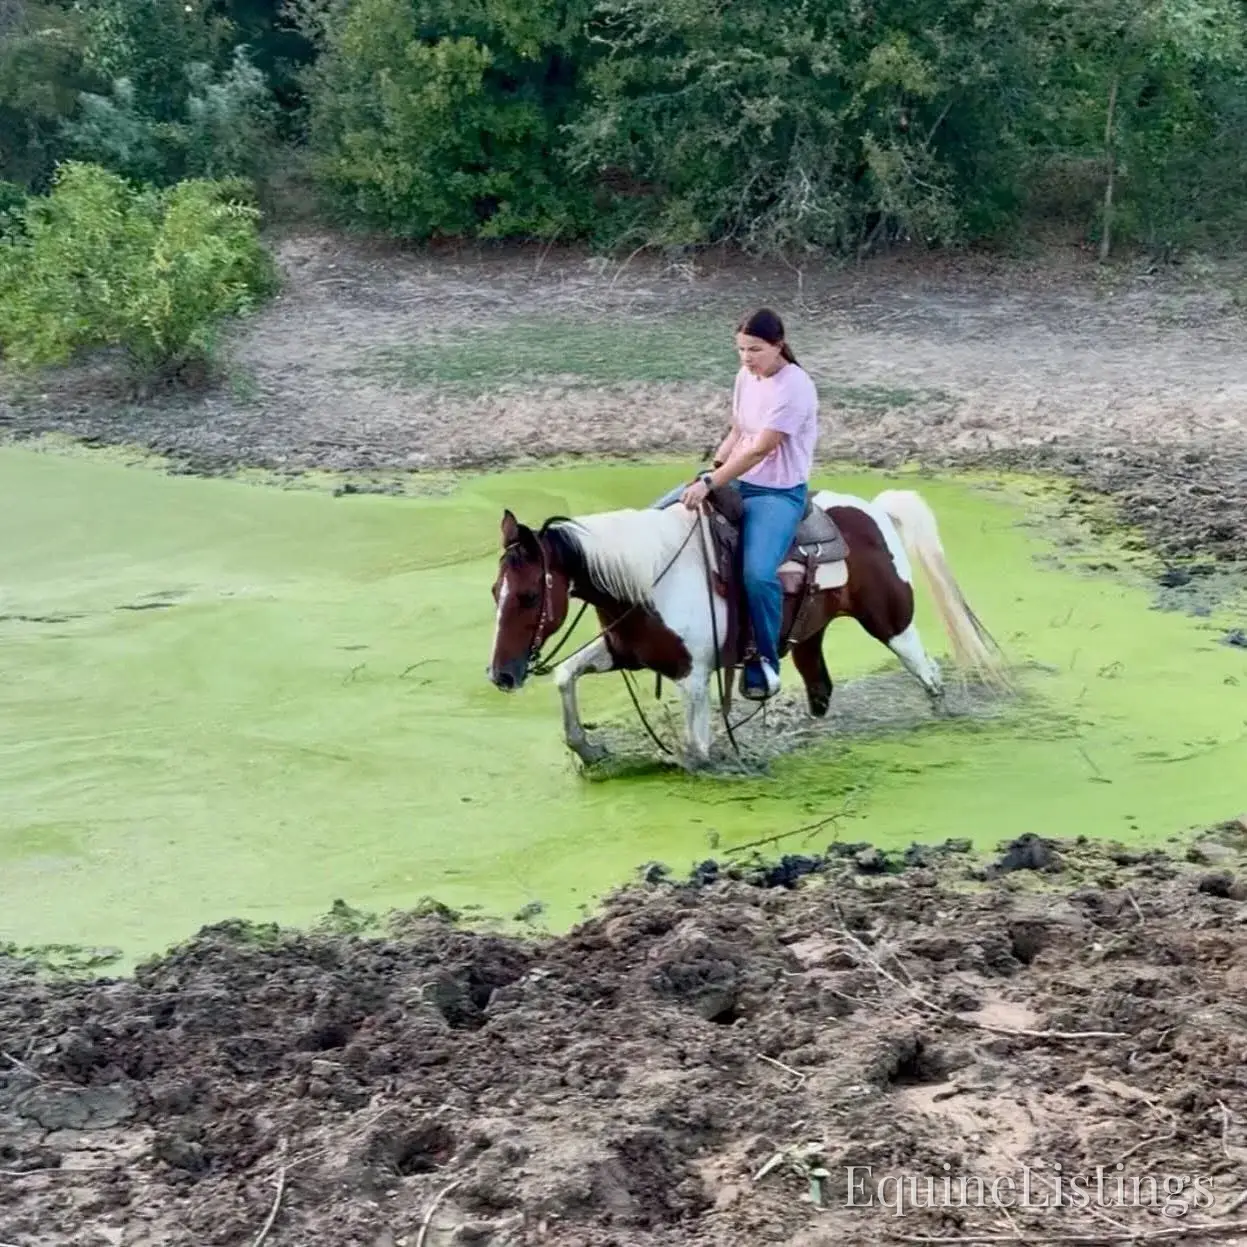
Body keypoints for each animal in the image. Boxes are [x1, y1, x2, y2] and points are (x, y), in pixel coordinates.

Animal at [486, 484, 1008, 769]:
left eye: (529, 595)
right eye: (495, 592)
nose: (501, 676)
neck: (647, 579)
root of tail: (874, 509)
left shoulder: (693, 677)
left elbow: (697, 750)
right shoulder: (622, 652)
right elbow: (564, 675)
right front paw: (589, 751)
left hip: (893, 625)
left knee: (930, 676)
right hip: (809, 637)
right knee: (821, 692)